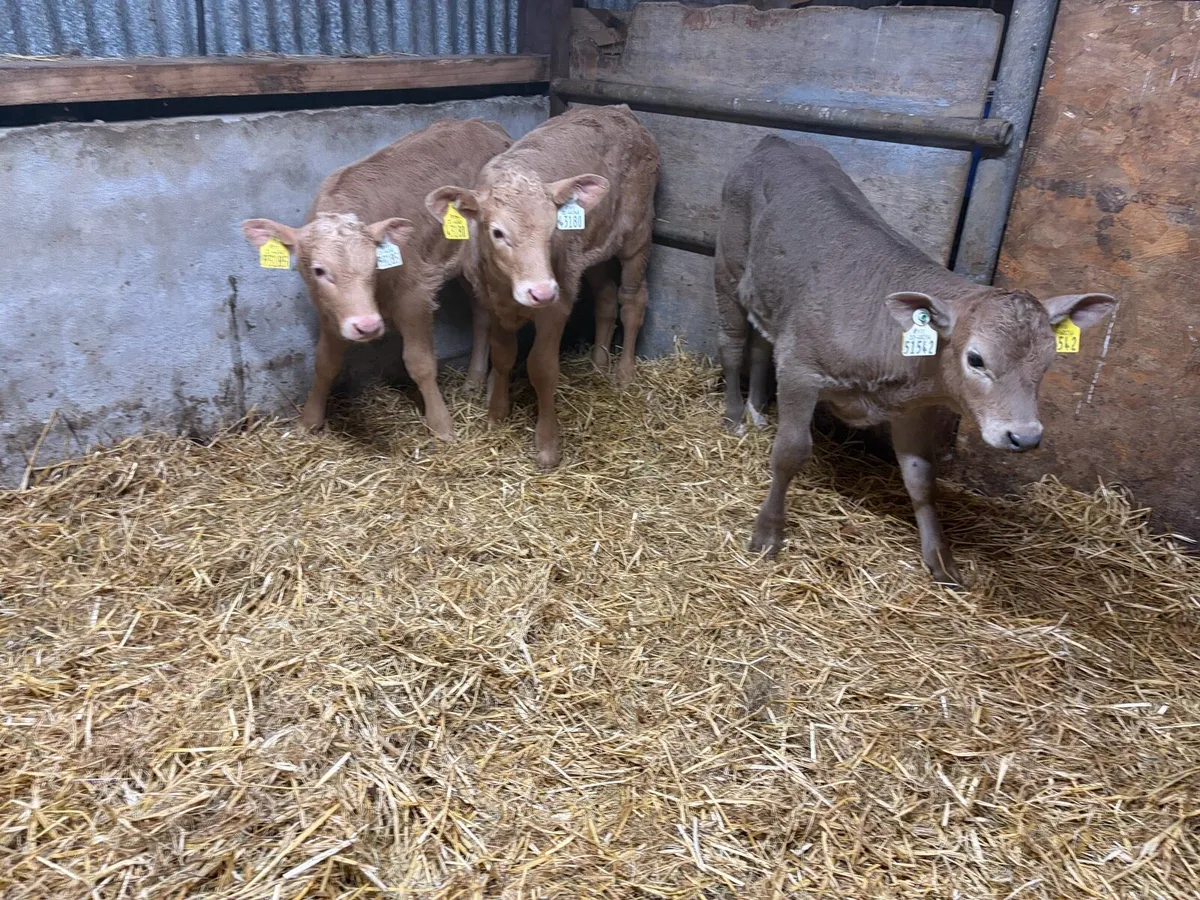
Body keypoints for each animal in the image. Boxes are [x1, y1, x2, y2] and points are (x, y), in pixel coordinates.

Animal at [241, 118, 512, 440]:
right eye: (319, 270)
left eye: (374, 265)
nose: (367, 325)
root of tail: (484, 124)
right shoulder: (330, 309)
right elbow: (324, 363)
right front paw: (308, 421)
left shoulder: (415, 295)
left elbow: (420, 363)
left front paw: (441, 425)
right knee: (482, 315)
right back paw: (473, 382)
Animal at [425, 105, 660, 470]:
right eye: (497, 232)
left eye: (554, 228)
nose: (541, 291)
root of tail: (616, 109)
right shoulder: (493, 303)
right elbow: (503, 356)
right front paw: (496, 416)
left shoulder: (557, 303)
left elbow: (542, 367)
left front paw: (548, 446)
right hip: (593, 249)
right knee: (606, 298)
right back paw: (598, 362)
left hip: (637, 233)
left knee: (633, 300)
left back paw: (624, 372)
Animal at [715, 136, 1116, 586]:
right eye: (976, 359)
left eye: (1049, 361)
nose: (1025, 437)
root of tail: (776, 141)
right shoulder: (802, 368)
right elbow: (790, 452)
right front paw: (767, 533)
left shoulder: (911, 407)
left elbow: (921, 476)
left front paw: (940, 558)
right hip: (727, 267)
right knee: (733, 343)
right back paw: (734, 415)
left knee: (760, 344)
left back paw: (757, 410)